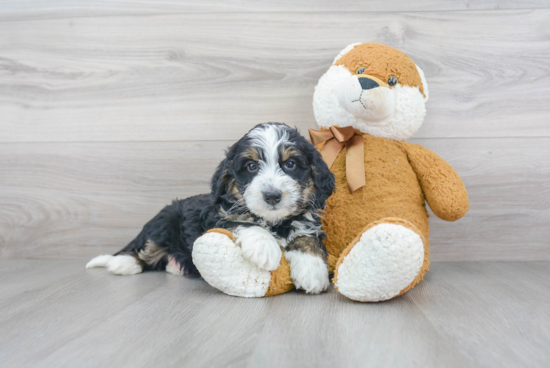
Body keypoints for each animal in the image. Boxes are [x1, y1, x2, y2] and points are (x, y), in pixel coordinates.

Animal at [86, 123, 336, 294]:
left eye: (290, 164)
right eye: (251, 166)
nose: (272, 196)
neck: (275, 221)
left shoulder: (306, 220)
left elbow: (308, 238)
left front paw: (312, 270)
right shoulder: (215, 216)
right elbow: (241, 222)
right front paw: (265, 247)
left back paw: (176, 266)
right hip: (164, 222)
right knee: (144, 247)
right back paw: (123, 262)